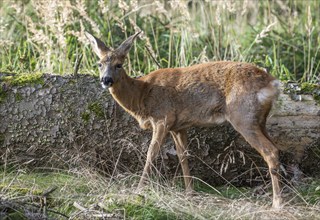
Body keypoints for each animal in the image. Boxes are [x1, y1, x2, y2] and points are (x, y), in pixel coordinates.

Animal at [85, 31, 282, 208]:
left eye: (119, 64)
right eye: (99, 63)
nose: (106, 80)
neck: (142, 93)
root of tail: (272, 83)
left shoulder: (163, 118)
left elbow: (151, 153)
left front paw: (138, 190)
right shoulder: (178, 126)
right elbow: (183, 156)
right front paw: (190, 193)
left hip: (242, 116)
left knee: (270, 151)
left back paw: (277, 203)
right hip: (260, 119)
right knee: (276, 148)